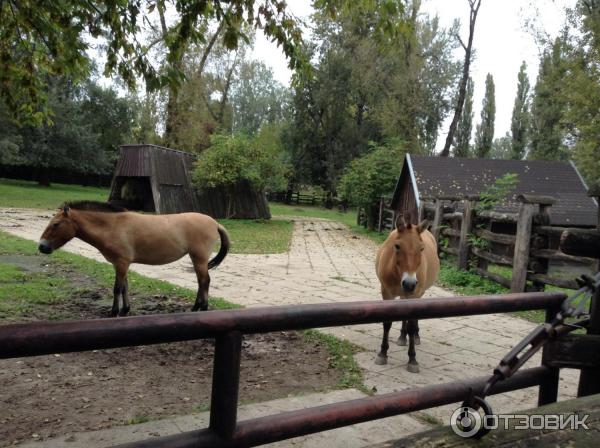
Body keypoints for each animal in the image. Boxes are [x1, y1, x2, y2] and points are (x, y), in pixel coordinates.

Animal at [38, 201, 230, 316]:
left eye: (56, 224)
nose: (41, 246)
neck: (113, 226)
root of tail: (215, 223)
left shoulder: (121, 263)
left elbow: (117, 288)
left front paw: (114, 312)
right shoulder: (121, 264)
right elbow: (125, 287)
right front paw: (125, 310)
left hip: (199, 258)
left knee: (204, 281)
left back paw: (202, 308)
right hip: (196, 259)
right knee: (200, 282)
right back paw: (195, 308)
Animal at [376, 215, 440, 372]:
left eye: (421, 248)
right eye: (397, 246)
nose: (409, 284)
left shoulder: (414, 295)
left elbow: (411, 325)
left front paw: (412, 359)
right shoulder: (387, 293)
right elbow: (387, 323)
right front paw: (383, 353)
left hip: (417, 294)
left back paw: (415, 337)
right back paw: (402, 337)